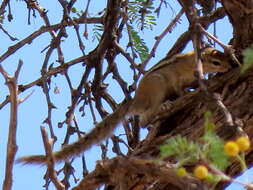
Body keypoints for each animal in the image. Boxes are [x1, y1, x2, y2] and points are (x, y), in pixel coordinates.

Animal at [17, 47, 231, 165]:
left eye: (224, 58)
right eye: (216, 61)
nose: (229, 66)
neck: (193, 62)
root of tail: (136, 101)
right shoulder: (177, 78)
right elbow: (180, 88)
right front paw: (187, 92)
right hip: (157, 86)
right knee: (145, 120)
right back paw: (163, 108)